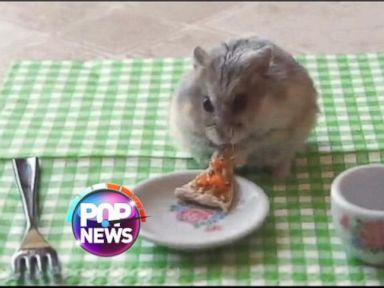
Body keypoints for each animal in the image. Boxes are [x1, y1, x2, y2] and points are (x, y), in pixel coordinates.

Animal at [168, 36, 318, 178]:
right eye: (206, 104)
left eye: (241, 102)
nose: (224, 138)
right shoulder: (190, 131)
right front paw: (216, 160)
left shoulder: (275, 131)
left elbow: (250, 144)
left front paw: (237, 159)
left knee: (284, 159)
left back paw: (281, 177)